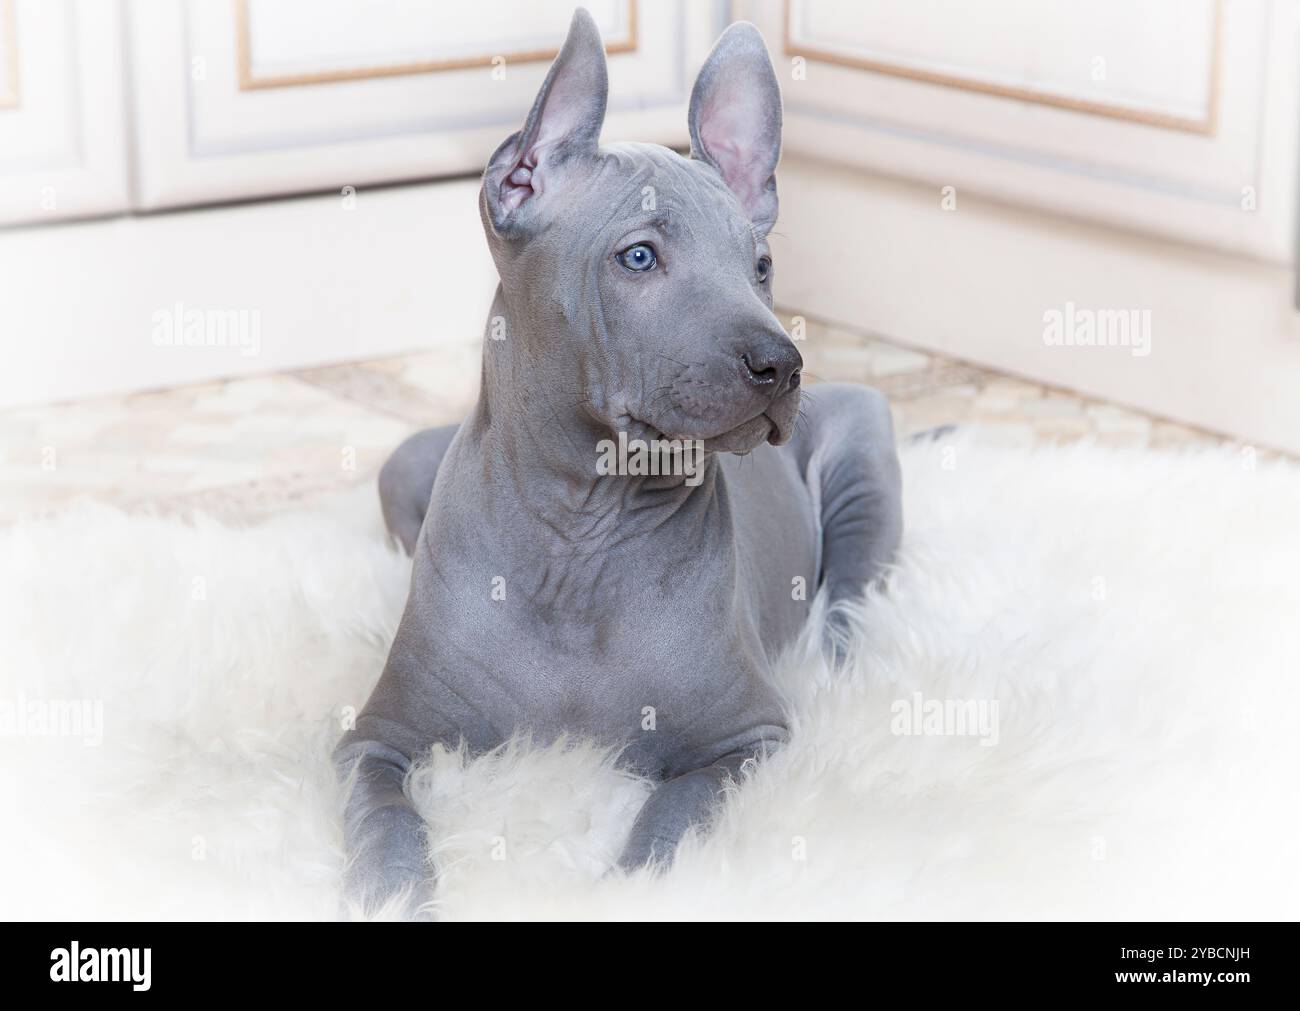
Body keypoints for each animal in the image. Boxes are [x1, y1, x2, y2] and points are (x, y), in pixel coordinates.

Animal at [338, 7, 904, 920]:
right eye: (638, 257)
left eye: (761, 266)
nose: (781, 364)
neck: (584, 530)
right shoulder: (376, 738)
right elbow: (384, 814)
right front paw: (391, 892)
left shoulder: (745, 739)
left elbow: (674, 812)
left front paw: (634, 885)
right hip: (400, 465)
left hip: (863, 450)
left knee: (849, 608)